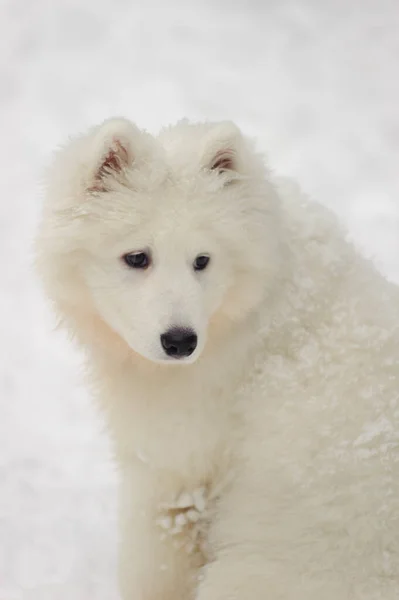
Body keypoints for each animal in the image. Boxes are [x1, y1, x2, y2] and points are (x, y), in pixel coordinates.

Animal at [35, 118, 399, 600]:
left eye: (202, 260)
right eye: (137, 257)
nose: (180, 341)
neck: (252, 314)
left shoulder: (174, 462)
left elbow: (154, 565)